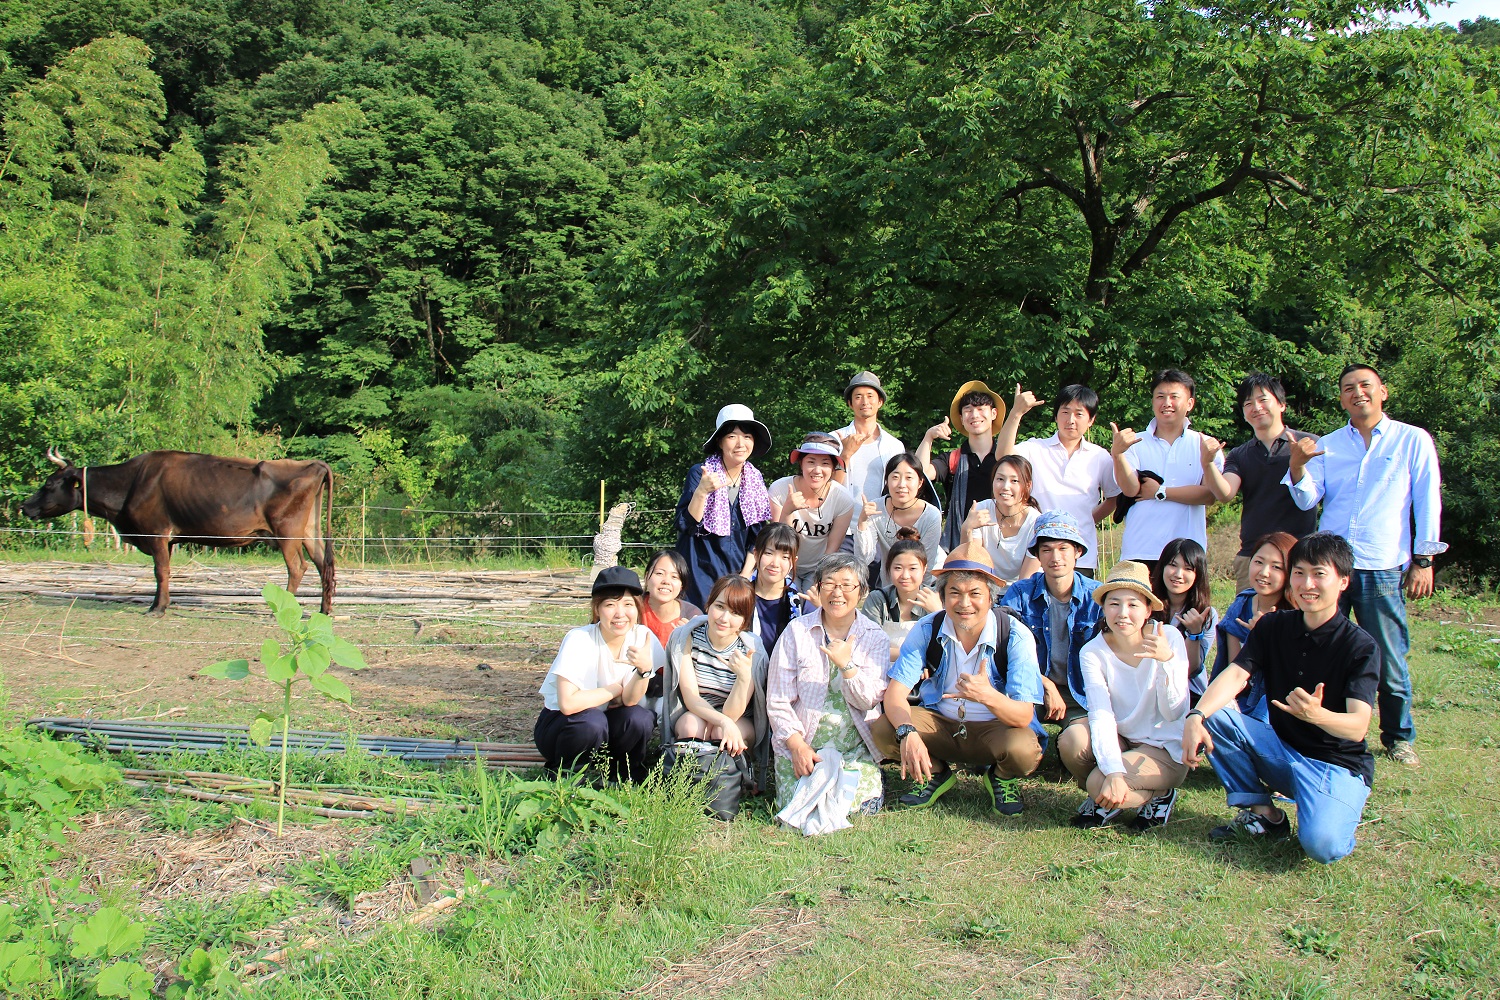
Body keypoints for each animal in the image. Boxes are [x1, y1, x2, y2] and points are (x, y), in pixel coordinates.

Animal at [21, 449, 336, 614]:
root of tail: (313, 463)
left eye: (49, 484)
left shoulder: (156, 533)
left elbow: (160, 571)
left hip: (287, 531)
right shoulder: (169, 539)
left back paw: (283, 609)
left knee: (298, 567)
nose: (25, 506)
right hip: (309, 530)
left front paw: (157, 608)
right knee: (323, 564)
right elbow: (163, 572)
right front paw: (159, 603)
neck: (131, 483)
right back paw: (325, 609)